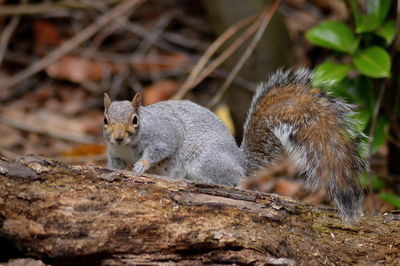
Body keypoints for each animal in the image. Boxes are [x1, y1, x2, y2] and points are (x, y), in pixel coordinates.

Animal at [103, 68, 368, 222]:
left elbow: (161, 149)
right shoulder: (116, 153)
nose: (118, 137)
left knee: (236, 179)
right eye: (105, 120)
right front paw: (113, 171)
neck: (127, 146)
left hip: (206, 161)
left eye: (135, 120)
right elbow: (114, 164)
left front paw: (141, 166)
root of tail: (238, 159)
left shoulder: (164, 135)